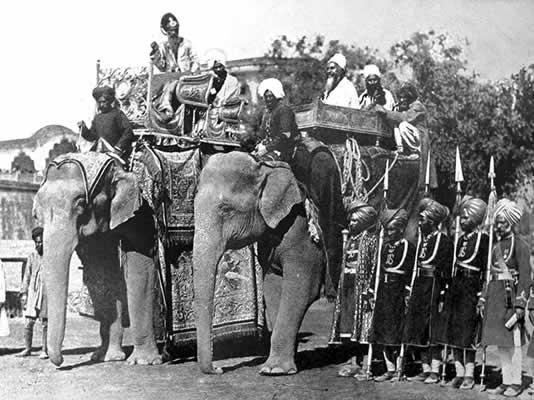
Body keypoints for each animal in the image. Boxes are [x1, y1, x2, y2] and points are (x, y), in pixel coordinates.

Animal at [33, 152, 162, 366]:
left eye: (80, 204)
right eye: (36, 212)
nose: (61, 361)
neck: (121, 168)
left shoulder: (141, 211)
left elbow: (139, 266)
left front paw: (143, 362)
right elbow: (101, 270)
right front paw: (106, 357)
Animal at [194, 151, 326, 376]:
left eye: (225, 209)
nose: (218, 370)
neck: (265, 166)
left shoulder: (303, 234)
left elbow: (303, 288)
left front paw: (274, 370)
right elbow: (274, 286)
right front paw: (278, 366)